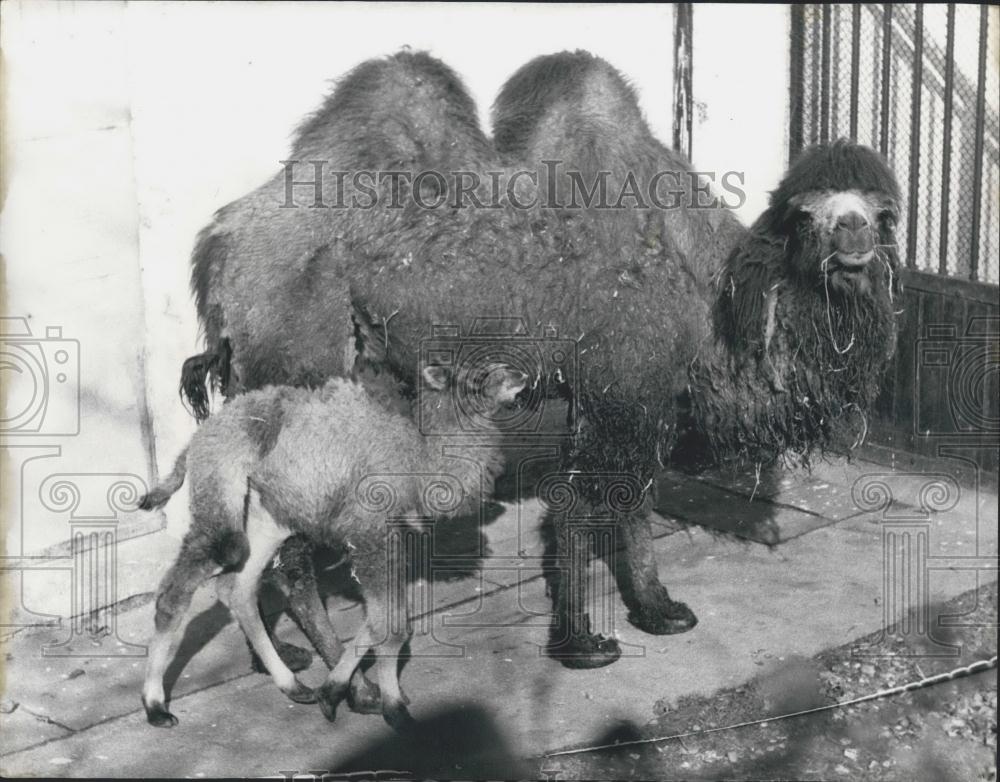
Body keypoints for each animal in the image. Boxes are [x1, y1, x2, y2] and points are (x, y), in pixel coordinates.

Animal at [144, 364, 528, 732]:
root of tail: (196, 439)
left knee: (238, 587)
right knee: (188, 580)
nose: (520, 376)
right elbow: (391, 627)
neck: (419, 459)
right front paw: (395, 711)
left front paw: (333, 693)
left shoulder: (389, 537)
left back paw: (295, 687)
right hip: (222, 492)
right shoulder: (370, 532)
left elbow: (380, 620)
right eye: (476, 377)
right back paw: (156, 708)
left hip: (270, 514)